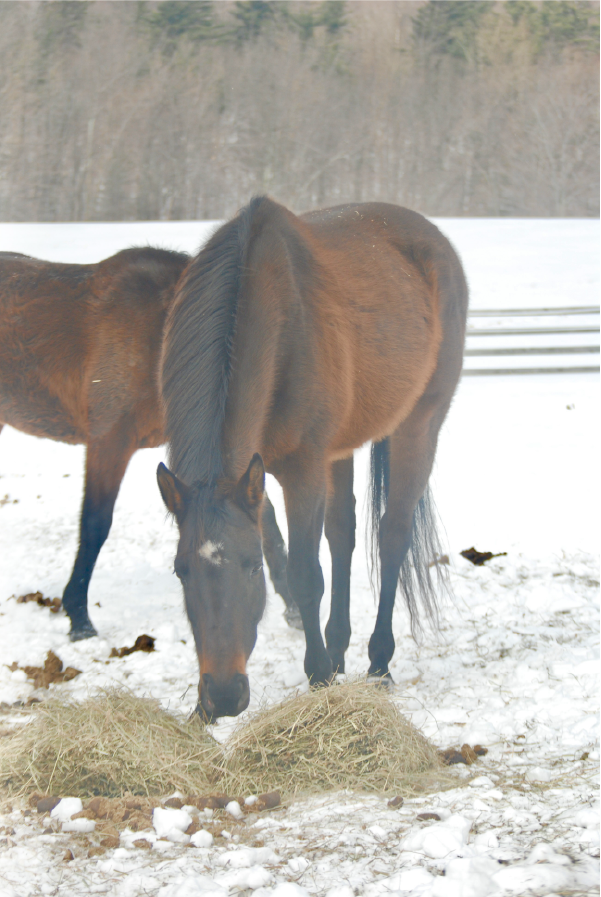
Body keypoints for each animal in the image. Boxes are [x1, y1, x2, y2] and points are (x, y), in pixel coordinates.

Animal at [157, 196, 468, 721]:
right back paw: (340, 650)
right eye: (181, 571)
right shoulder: (263, 476)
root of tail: (436, 241)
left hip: (420, 423)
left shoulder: (301, 470)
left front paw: (318, 677)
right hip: (339, 449)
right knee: (343, 533)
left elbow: (304, 573)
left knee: (392, 535)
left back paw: (378, 663)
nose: (223, 695)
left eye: (250, 567)